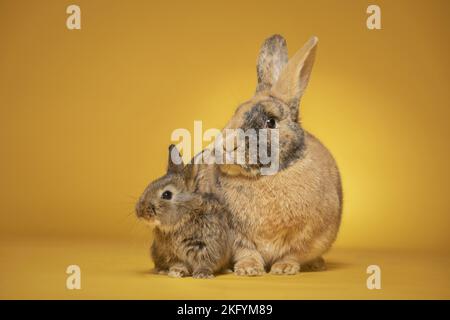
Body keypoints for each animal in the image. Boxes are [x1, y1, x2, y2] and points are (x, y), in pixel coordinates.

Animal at [135, 144, 232, 278]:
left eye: (167, 194)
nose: (139, 211)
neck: (184, 218)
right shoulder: (171, 253)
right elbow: (179, 263)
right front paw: (176, 272)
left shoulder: (208, 246)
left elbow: (206, 262)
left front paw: (202, 274)